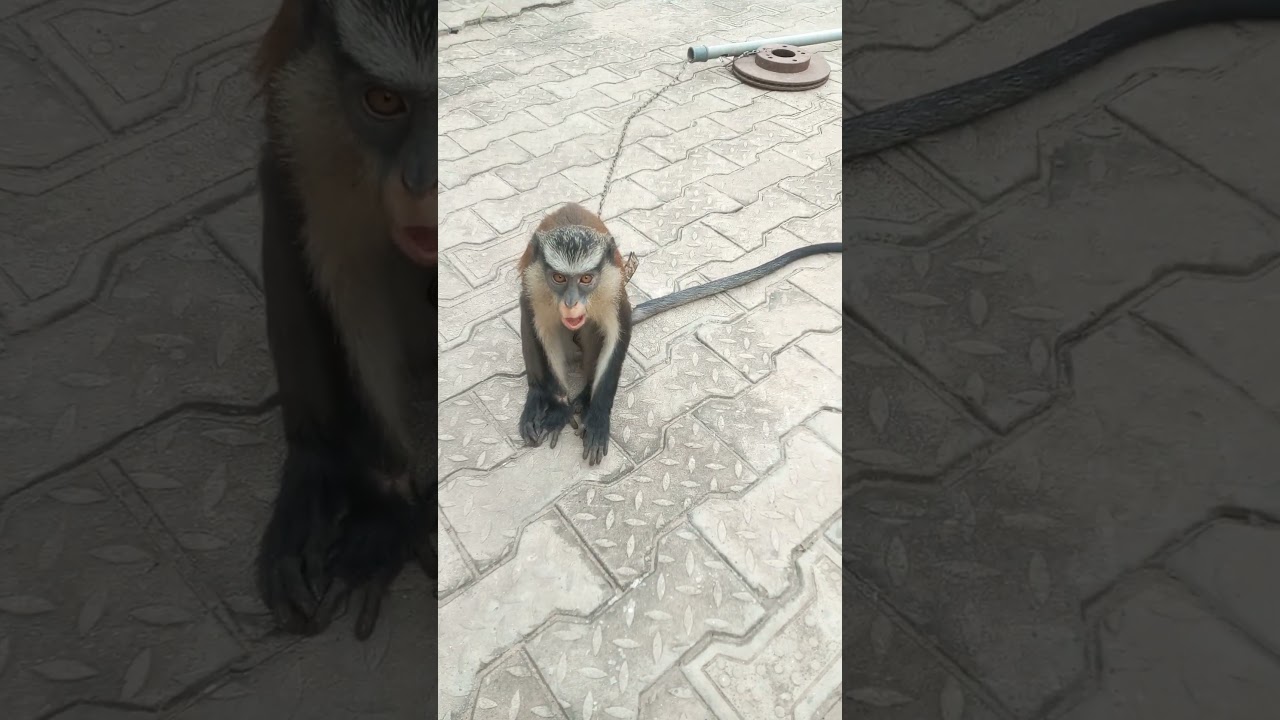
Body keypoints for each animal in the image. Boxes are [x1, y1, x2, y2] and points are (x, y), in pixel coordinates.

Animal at [518, 202, 842, 465]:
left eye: (586, 279)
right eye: (559, 278)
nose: (571, 302)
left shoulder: (612, 288)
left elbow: (617, 333)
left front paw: (597, 416)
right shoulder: (536, 285)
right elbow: (540, 328)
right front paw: (558, 408)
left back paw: (585, 395)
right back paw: (537, 396)